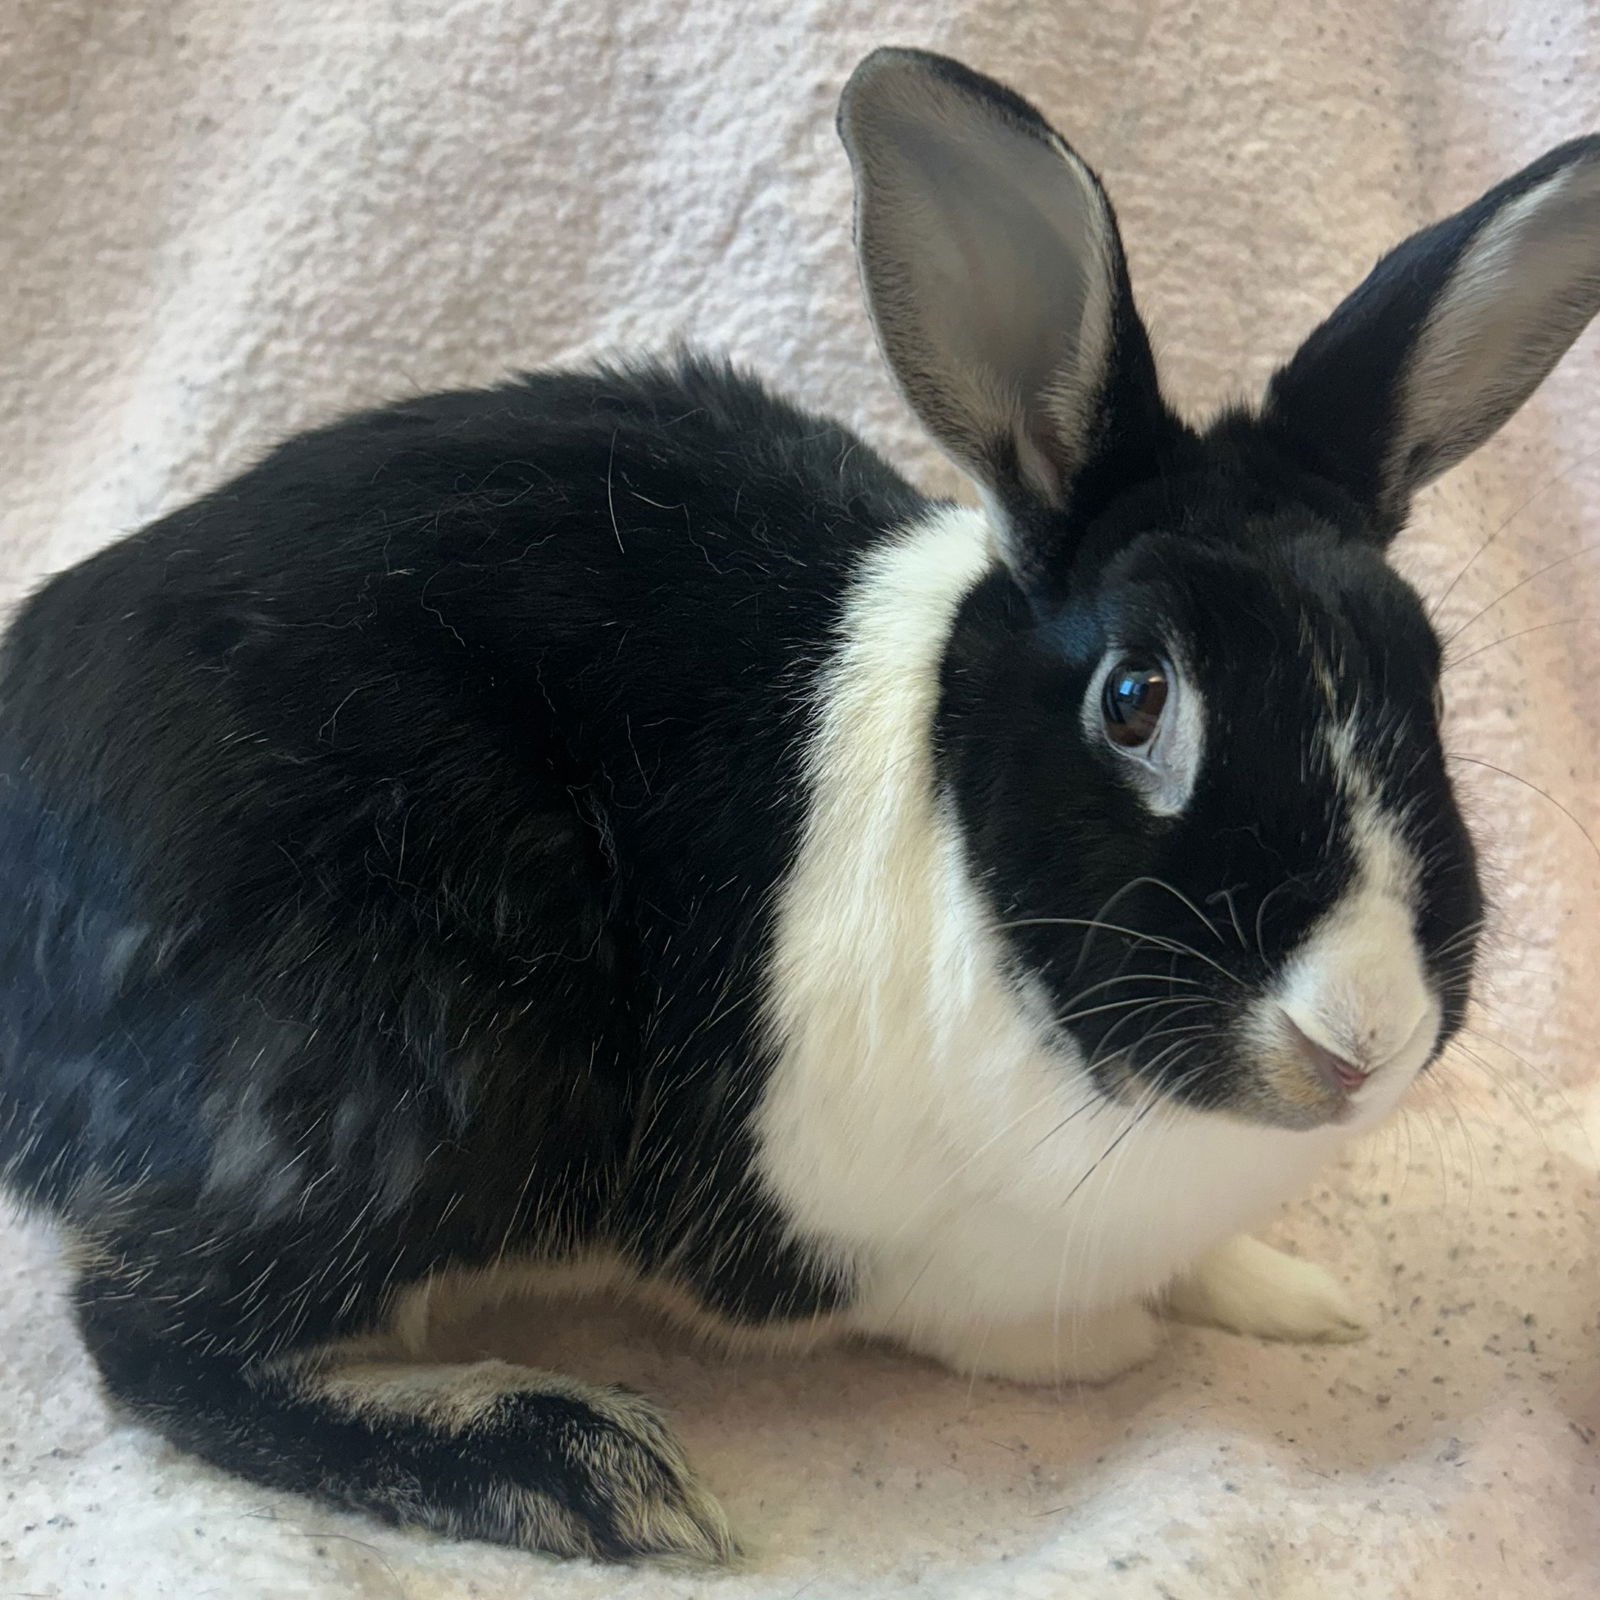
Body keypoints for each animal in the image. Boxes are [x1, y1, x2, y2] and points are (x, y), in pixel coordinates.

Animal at [2, 44, 1597, 1565]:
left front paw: (1300, 1300)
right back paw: (581, 1467)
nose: (1358, 1038)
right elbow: (1001, 1322)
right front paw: (1113, 1344)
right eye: (1137, 698)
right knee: (157, 1343)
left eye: (1430, 677)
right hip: (396, 1072)